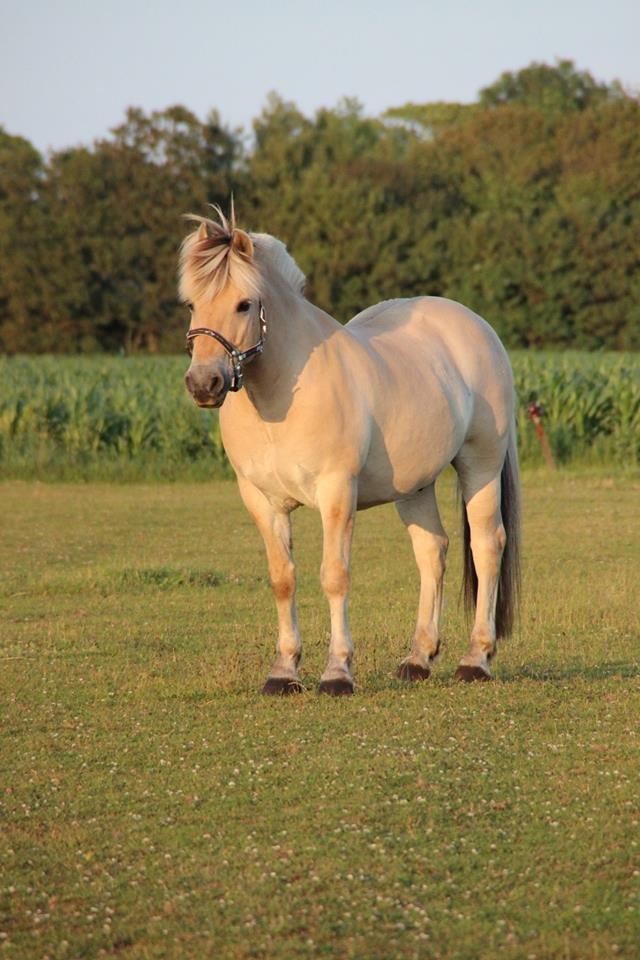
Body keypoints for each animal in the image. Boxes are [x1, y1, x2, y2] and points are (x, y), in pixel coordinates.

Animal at [180, 206, 520, 692]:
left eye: (244, 303)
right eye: (191, 304)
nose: (204, 383)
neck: (282, 396)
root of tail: (475, 327)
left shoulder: (337, 491)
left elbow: (334, 576)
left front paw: (337, 672)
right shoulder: (261, 500)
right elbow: (283, 578)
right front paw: (283, 672)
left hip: (481, 464)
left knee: (488, 546)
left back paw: (476, 659)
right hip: (415, 486)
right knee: (432, 551)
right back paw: (418, 658)